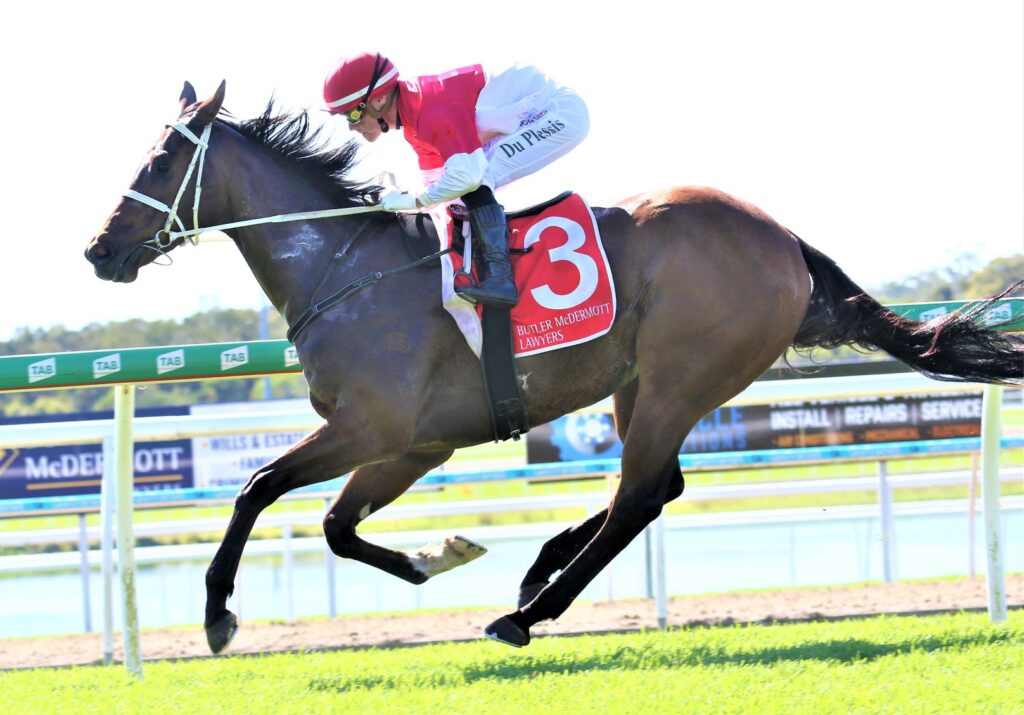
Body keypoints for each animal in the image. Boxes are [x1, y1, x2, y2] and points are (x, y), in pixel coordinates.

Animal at [84, 81, 1023, 652]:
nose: (98, 250)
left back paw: (529, 610)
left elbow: (256, 489)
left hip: (682, 374)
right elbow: (337, 527)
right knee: (653, 486)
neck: (344, 266)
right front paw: (441, 553)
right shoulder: (414, 443)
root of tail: (786, 239)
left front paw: (217, 612)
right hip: (642, 382)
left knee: (640, 494)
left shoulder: (371, 425)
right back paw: (539, 568)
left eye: (161, 160)